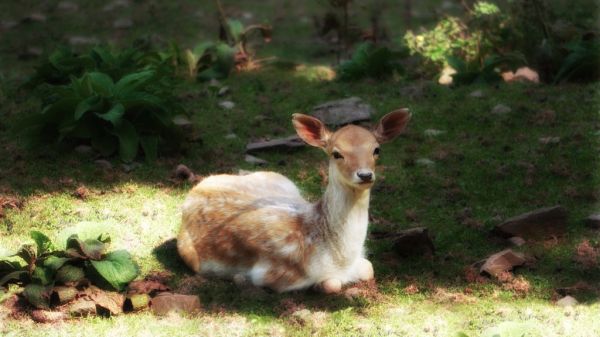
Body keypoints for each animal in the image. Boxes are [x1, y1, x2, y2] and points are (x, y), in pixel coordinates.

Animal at [176, 108, 410, 292]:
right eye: (336, 153)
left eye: (376, 149)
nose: (365, 175)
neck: (339, 259)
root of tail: (199, 185)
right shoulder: (271, 274)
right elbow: (331, 284)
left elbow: (369, 268)